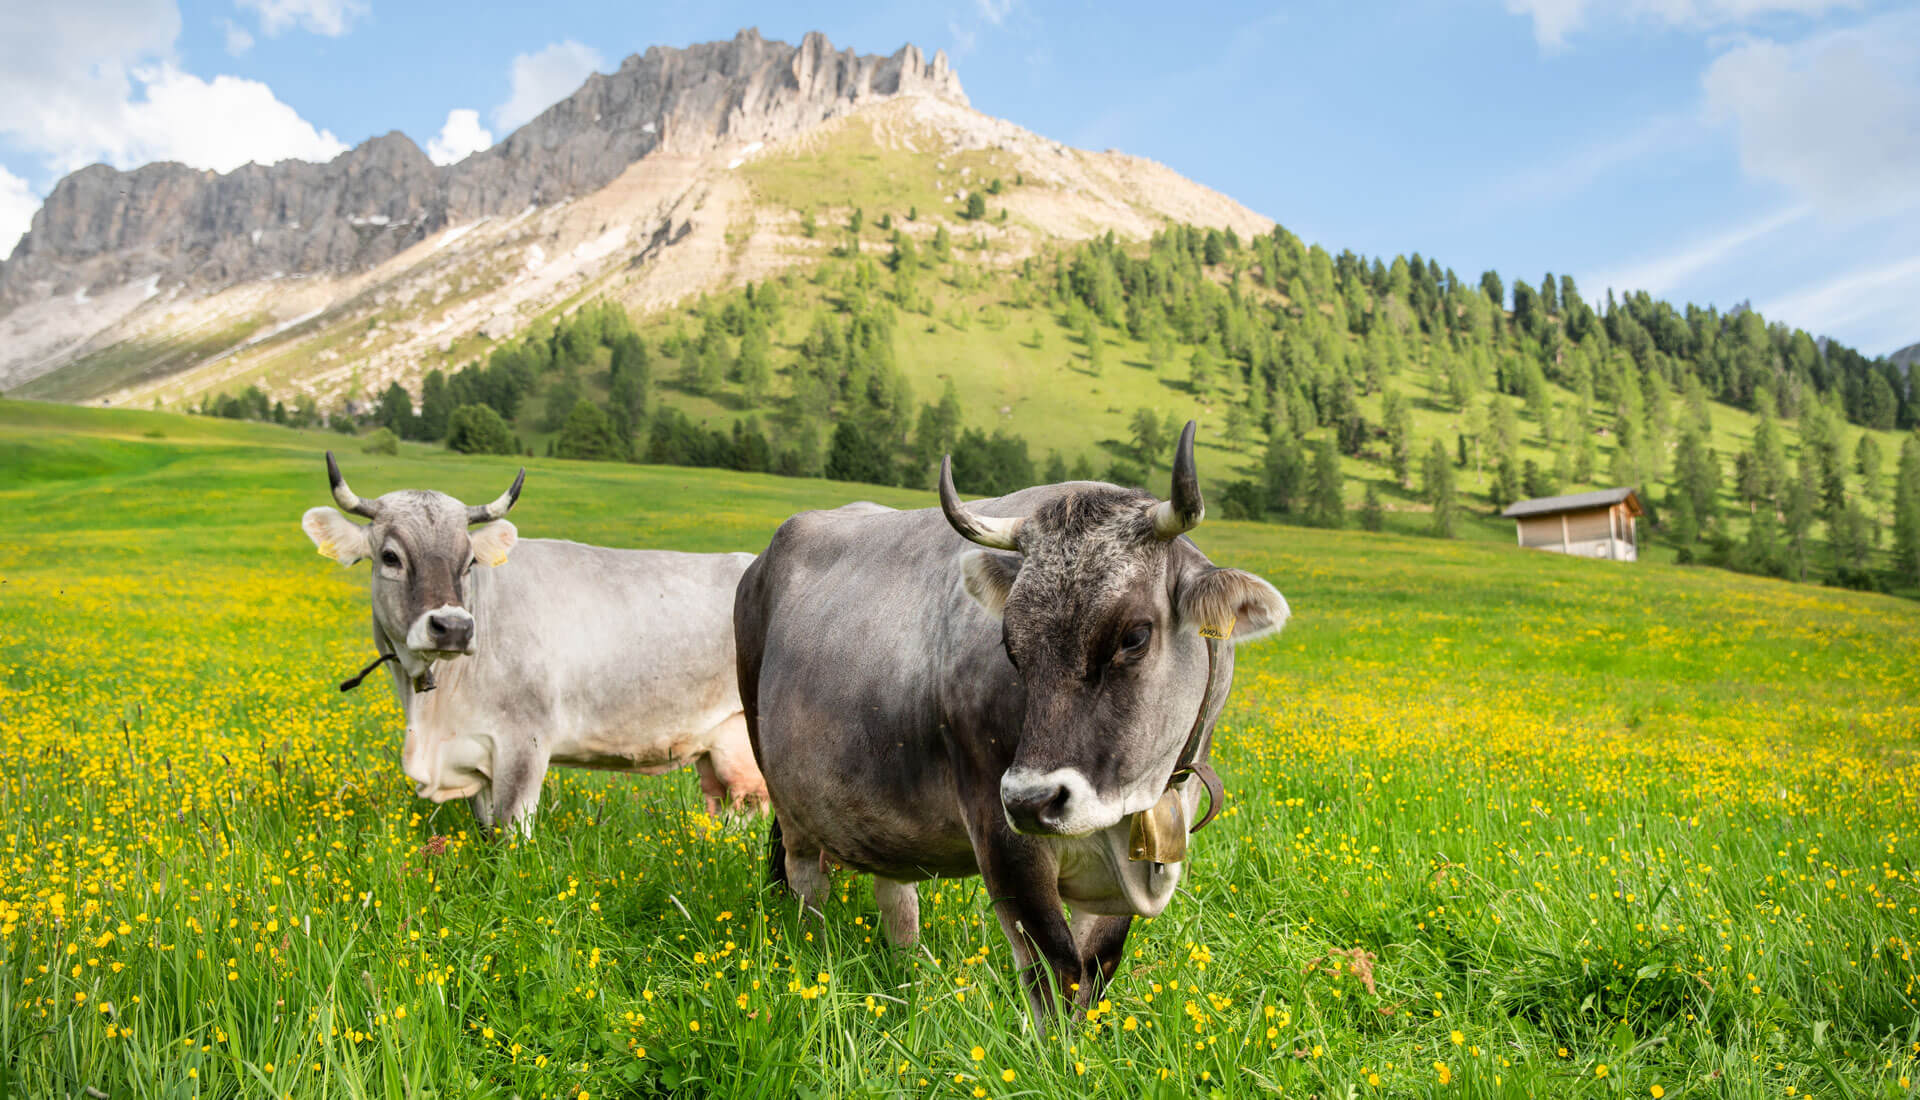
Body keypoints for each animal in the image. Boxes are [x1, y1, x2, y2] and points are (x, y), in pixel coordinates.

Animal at [299, 454, 764, 833]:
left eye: (469, 561)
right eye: (391, 557)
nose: (453, 627)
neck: (432, 713)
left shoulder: (524, 743)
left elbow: (511, 831)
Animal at [733, 420, 1290, 1013]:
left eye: (1135, 636)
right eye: (1010, 644)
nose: (1031, 801)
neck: (1142, 801)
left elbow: (1096, 969)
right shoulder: (1000, 834)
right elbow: (1056, 972)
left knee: (894, 892)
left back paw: (910, 975)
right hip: (785, 793)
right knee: (805, 883)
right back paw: (814, 964)